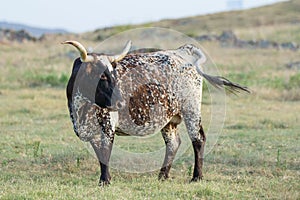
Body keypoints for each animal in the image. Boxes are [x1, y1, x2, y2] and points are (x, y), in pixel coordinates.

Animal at [62, 40, 248, 186]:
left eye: (114, 74)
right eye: (101, 77)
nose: (120, 103)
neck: (82, 108)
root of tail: (180, 51)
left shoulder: (107, 126)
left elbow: (105, 152)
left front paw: (105, 181)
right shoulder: (88, 130)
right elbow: (100, 153)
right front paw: (104, 179)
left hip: (192, 109)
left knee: (198, 140)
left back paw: (196, 177)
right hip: (169, 118)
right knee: (173, 143)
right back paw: (163, 175)